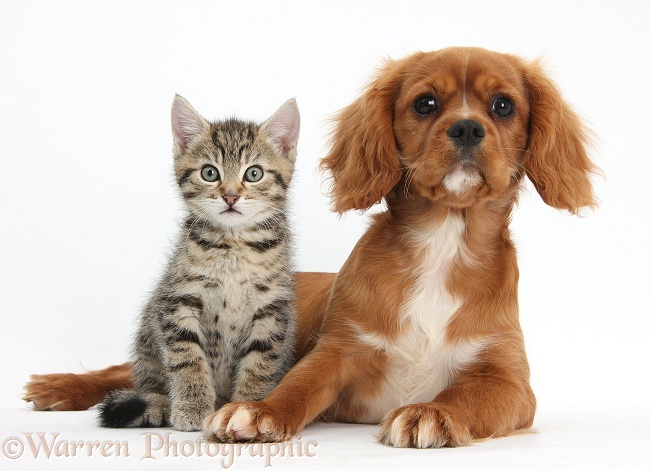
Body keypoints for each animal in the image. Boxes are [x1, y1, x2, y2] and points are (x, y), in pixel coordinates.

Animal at [98, 95, 300, 432]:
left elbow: (260, 364)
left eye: (253, 174)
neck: (234, 246)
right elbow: (187, 359)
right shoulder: (177, 302)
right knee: (151, 384)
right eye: (209, 173)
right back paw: (160, 404)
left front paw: (247, 408)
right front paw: (191, 407)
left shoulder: (271, 312)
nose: (230, 196)